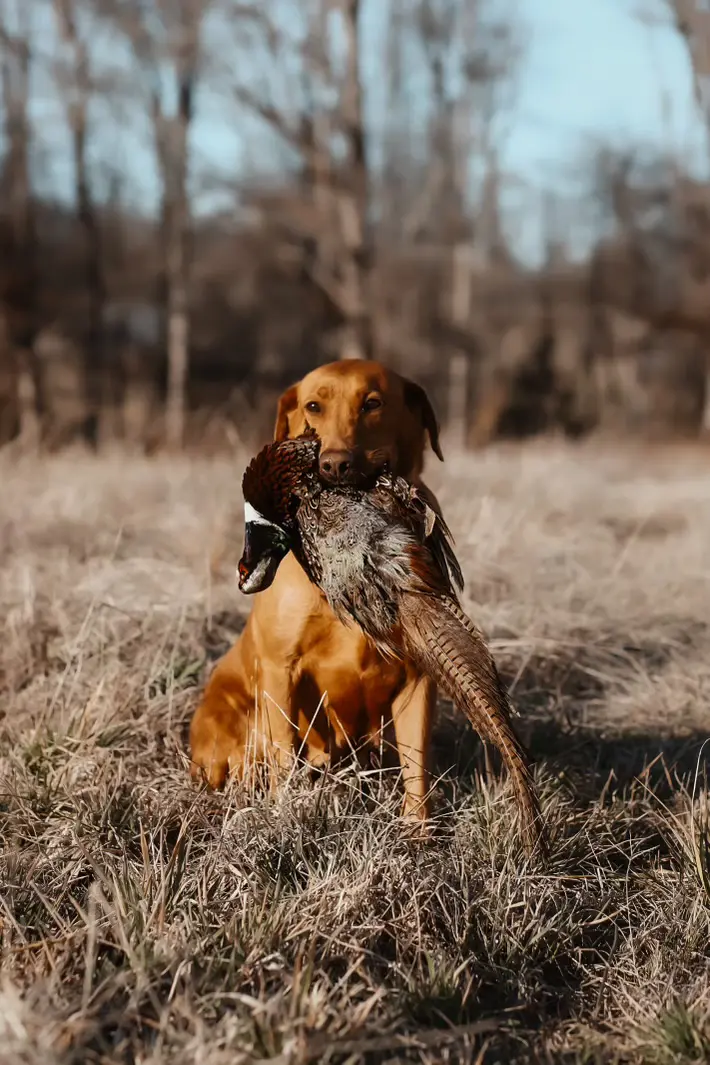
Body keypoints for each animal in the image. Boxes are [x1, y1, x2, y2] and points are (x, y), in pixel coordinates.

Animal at [188, 362, 444, 817]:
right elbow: (284, 754)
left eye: (373, 403)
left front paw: (420, 832)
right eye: (313, 405)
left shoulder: (418, 678)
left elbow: (418, 776)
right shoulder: (280, 670)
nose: (333, 465)